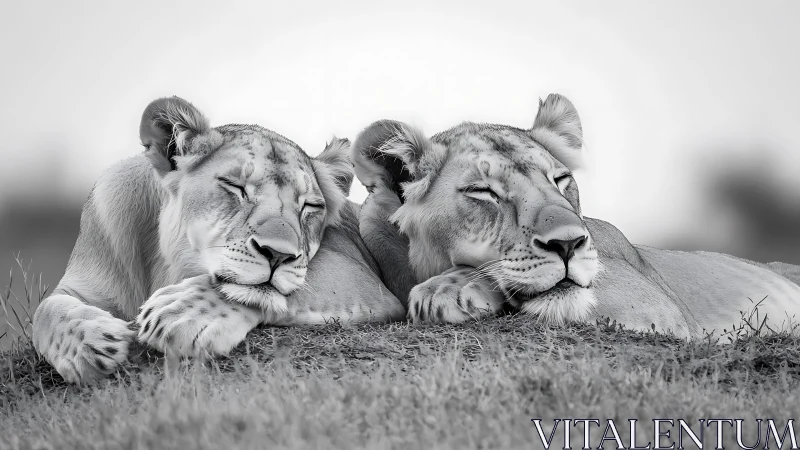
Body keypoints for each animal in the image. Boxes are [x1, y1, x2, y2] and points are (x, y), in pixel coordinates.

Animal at [31, 96, 405, 384]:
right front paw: (89, 344)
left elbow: (265, 291)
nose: (278, 255)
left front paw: (182, 313)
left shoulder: (361, 279)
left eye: (310, 207)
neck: (162, 266)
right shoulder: (82, 284)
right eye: (235, 187)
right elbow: (45, 310)